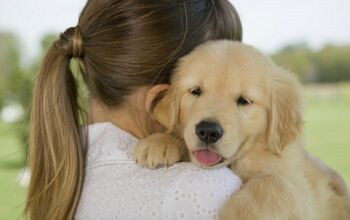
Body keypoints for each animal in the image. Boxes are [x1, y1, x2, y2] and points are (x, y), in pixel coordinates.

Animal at [134, 40, 350, 219]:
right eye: (195, 91)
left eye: (244, 101)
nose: (208, 131)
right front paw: (159, 143)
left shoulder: (304, 190)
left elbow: (273, 181)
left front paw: (239, 214)